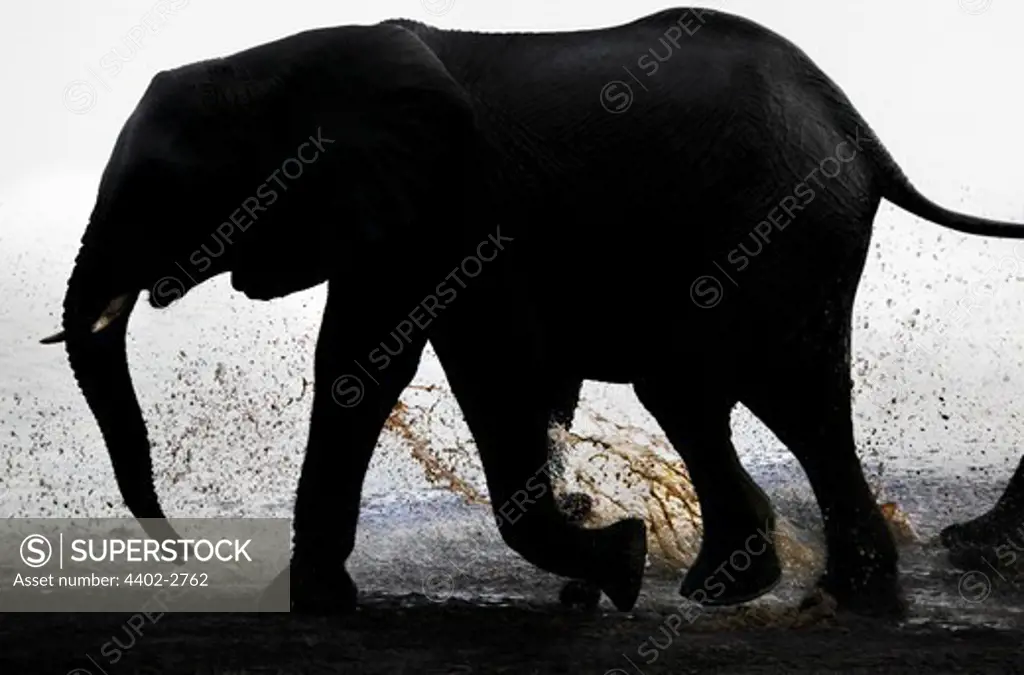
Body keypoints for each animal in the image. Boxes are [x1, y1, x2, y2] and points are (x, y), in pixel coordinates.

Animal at [41, 6, 1024, 618]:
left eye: (163, 191)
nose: (178, 547)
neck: (277, 61)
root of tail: (856, 125)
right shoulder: (390, 216)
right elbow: (359, 365)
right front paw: (316, 603)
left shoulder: (455, 209)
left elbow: (485, 370)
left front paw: (618, 560)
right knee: (727, 394)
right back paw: (762, 592)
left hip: (782, 224)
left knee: (768, 391)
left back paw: (801, 594)